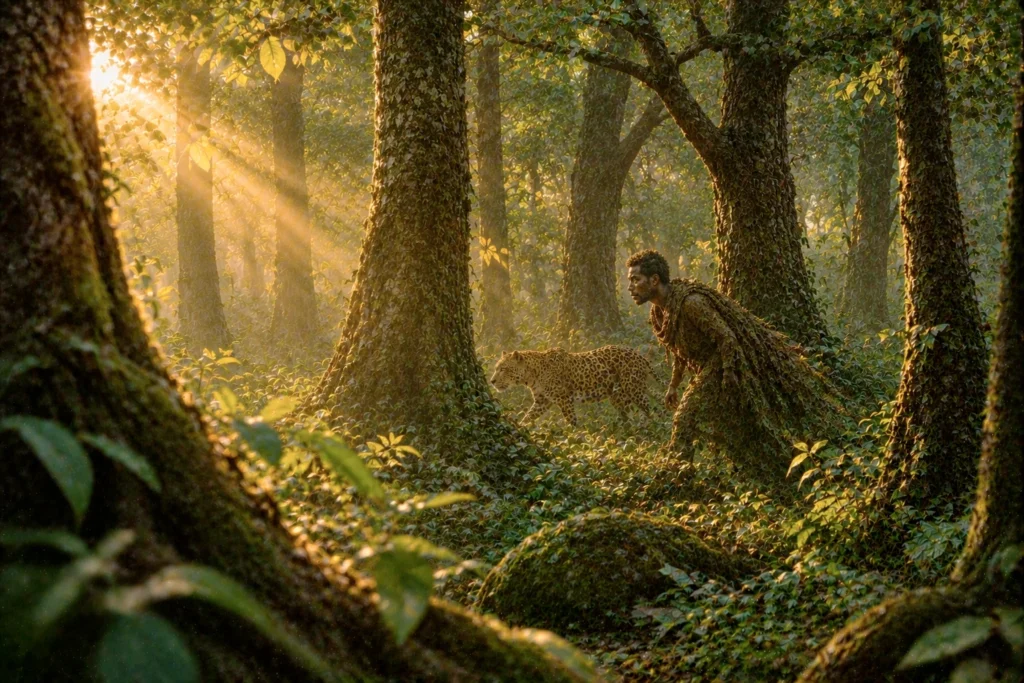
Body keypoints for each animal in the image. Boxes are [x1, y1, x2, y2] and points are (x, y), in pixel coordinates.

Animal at [490, 345, 654, 427]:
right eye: (496, 368)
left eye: (503, 369)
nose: (492, 381)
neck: (531, 376)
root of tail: (640, 356)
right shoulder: (542, 401)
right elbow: (528, 417)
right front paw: (520, 428)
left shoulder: (564, 399)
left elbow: (571, 420)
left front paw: (576, 435)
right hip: (619, 397)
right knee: (630, 414)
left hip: (633, 389)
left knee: (650, 409)